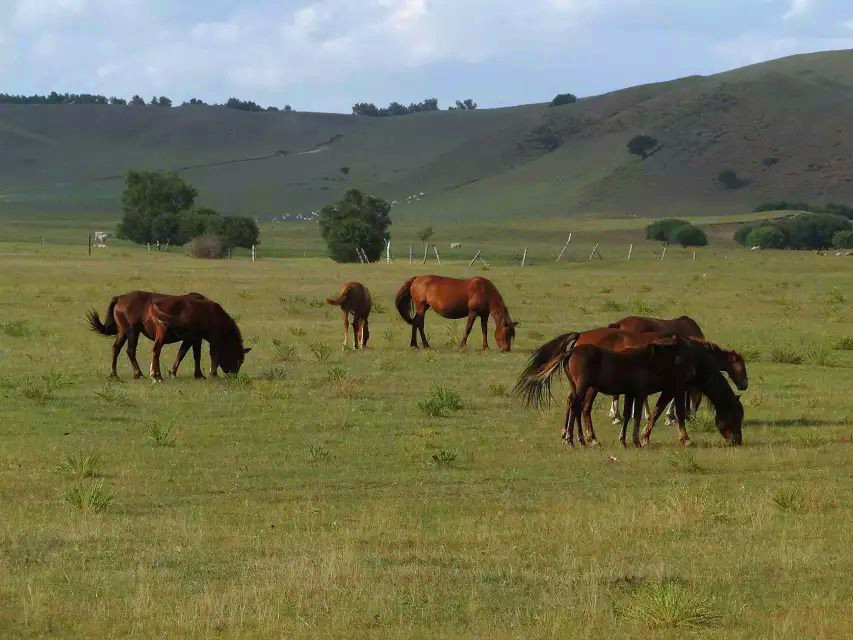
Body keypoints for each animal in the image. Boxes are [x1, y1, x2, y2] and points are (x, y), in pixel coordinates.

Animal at [87, 292, 250, 380]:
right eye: (239, 359)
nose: (234, 375)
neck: (215, 316)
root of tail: (120, 298)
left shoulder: (194, 339)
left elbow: (193, 355)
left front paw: (196, 374)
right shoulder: (206, 339)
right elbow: (202, 354)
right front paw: (212, 374)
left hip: (123, 332)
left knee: (116, 349)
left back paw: (114, 373)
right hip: (133, 332)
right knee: (132, 351)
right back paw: (140, 373)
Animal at [512, 332, 692, 448]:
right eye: (675, 351)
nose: (687, 368)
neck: (643, 360)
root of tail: (572, 350)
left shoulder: (630, 393)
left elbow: (627, 415)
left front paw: (623, 440)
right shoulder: (640, 393)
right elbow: (637, 416)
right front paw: (636, 441)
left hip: (579, 387)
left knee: (576, 406)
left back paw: (582, 439)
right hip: (583, 387)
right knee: (576, 406)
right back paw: (572, 440)